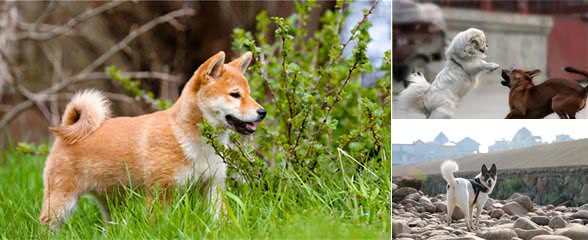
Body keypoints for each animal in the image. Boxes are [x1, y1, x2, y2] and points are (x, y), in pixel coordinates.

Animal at [38, 51, 266, 230]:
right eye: (235, 95)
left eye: (250, 94)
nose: (262, 112)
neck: (191, 141)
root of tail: (66, 132)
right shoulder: (160, 193)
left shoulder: (212, 187)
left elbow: (218, 219)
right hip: (61, 204)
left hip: (113, 203)